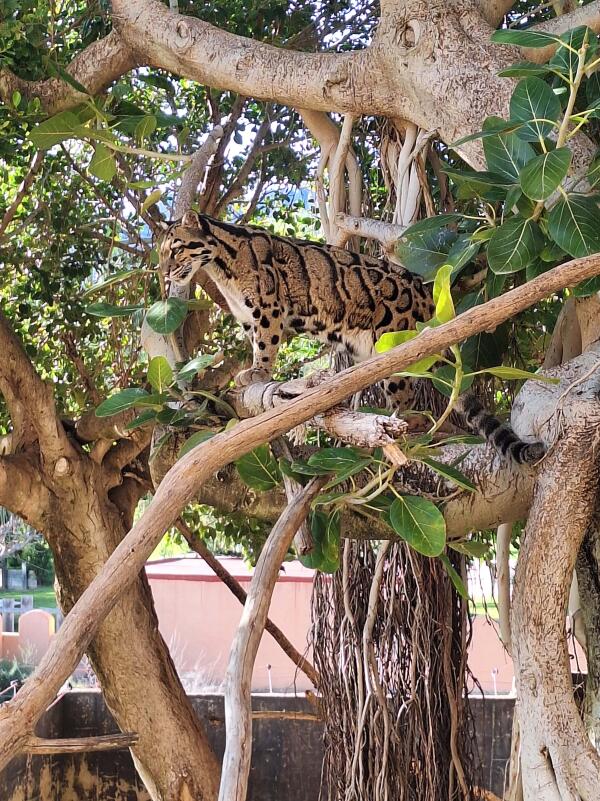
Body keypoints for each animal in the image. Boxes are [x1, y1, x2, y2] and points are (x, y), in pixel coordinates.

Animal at [159, 209, 544, 466]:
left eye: (175, 250)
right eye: (162, 253)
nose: (163, 274)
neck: (222, 267)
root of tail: (427, 297)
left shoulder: (269, 311)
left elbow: (265, 348)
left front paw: (258, 372)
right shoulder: (247, 319)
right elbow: (256, 344)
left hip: (394, 346)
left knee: (405, 400)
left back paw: (398, 423)